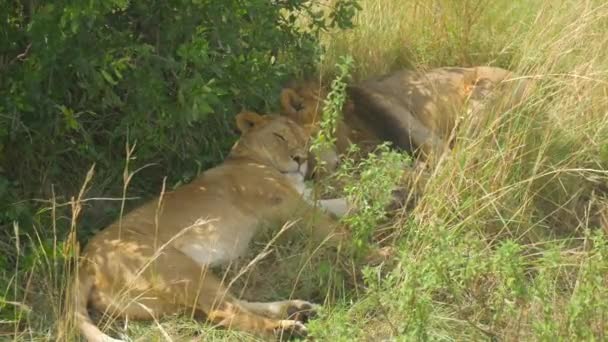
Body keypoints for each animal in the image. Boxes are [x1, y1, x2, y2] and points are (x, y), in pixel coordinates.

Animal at [73, 111, 364, 340]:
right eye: (279, 137)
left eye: (304, 140)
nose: (300, 159)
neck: (247, 158)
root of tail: (85, 261)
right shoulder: (294, 210)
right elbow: (338, 231)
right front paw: (371, 253)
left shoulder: (304, 201)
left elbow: (347, 203)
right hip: (178, 267)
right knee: (223, 311)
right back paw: (285, 328)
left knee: (230, 303)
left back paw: (298, 309)